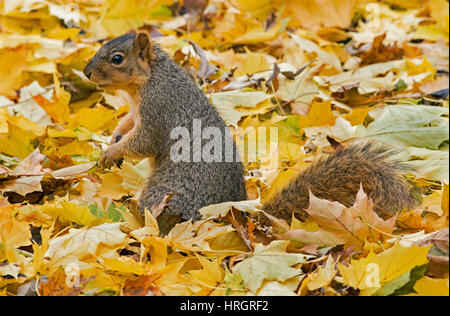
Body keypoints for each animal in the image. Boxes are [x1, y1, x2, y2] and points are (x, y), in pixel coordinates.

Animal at [84, 31, 418, 227]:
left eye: (117, 59)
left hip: (166, 194)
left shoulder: (159, 109)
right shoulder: (136, 111)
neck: (146, 82)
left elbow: (143, 141)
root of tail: (236, 215)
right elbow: (127, 124)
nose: (86, 72)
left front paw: (112, 151)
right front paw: (113, 139)